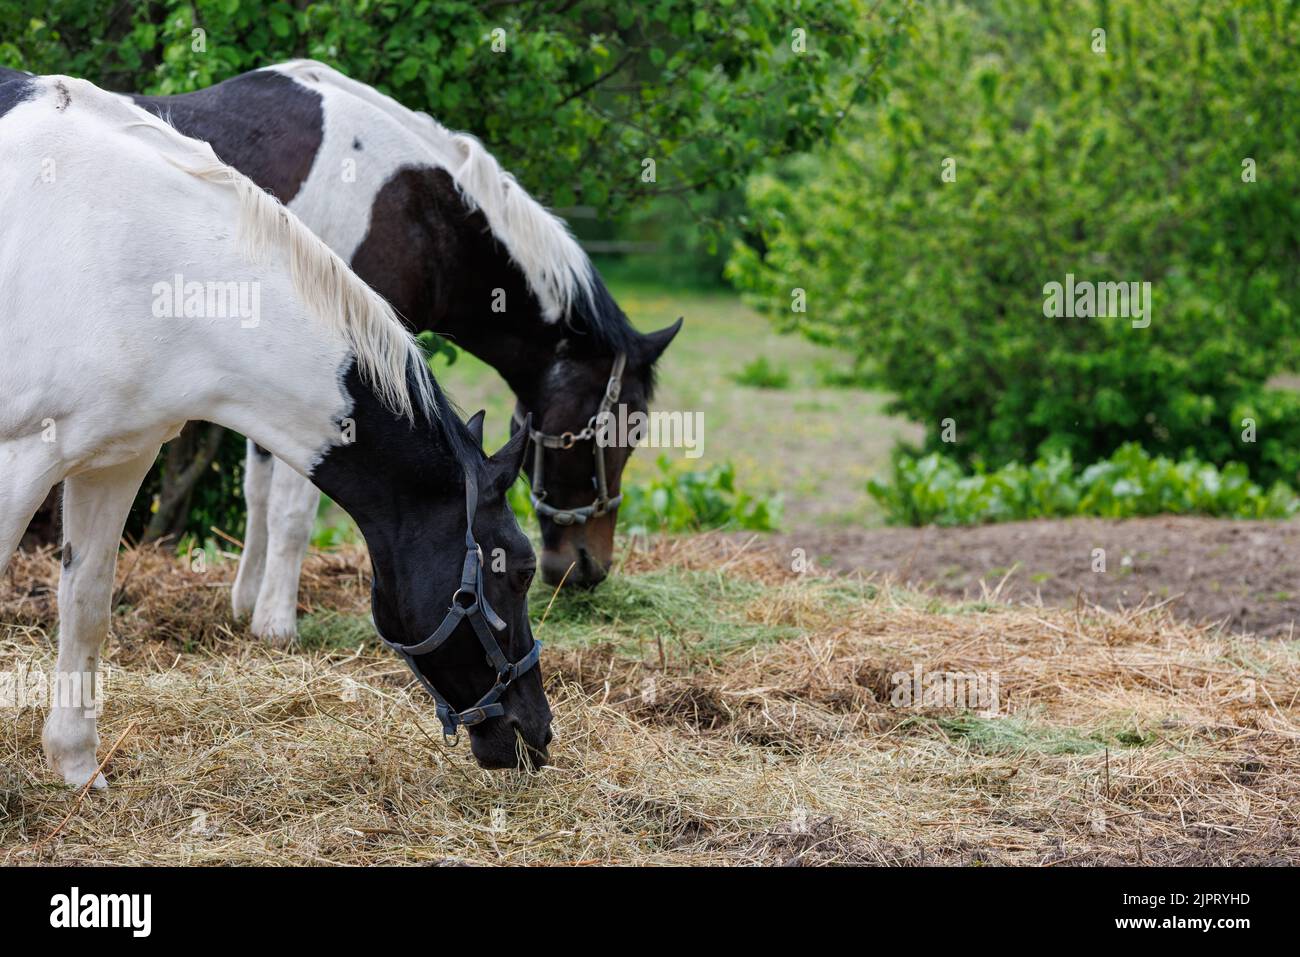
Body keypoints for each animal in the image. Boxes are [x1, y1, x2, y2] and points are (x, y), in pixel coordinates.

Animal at [0, 72, 552, 785]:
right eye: (517, 571)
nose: (538, 731)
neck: (129, 254)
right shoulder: (17, 462)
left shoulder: (116, 461)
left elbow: (87, 603)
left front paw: (75, 766)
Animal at [76, 59, 683, 640]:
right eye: (620, 432)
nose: (586, 568)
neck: (414, 207)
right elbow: (293, 508)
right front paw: (276, 624)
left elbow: (260, 493)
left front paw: (247, 603)